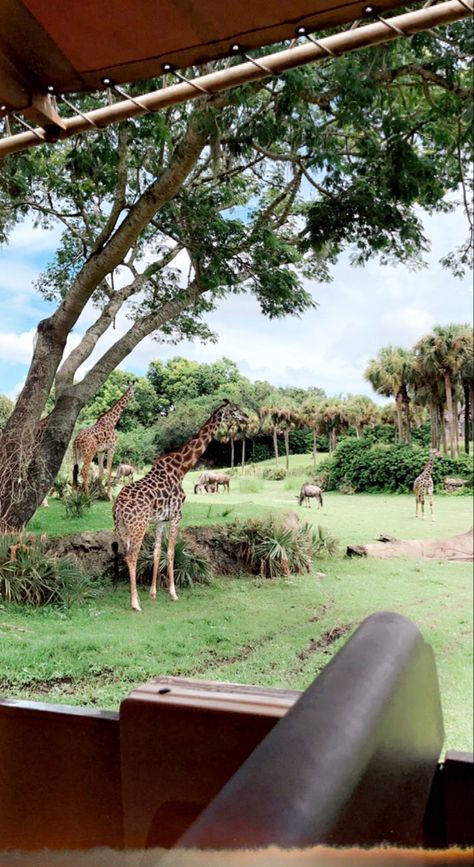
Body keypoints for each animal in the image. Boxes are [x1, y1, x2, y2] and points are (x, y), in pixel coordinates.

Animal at [113, 404, 250, 612]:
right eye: (234, 409)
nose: (247, 417)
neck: (181, 468)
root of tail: (118, 506)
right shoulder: (177, 515)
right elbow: (170, 552)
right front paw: (173, 593)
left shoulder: (161, 520)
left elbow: (156, 552)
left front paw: (153, 593)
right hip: (138, 525)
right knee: (132, 556)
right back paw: (135, 604)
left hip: (121, 527)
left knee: (125, 554)